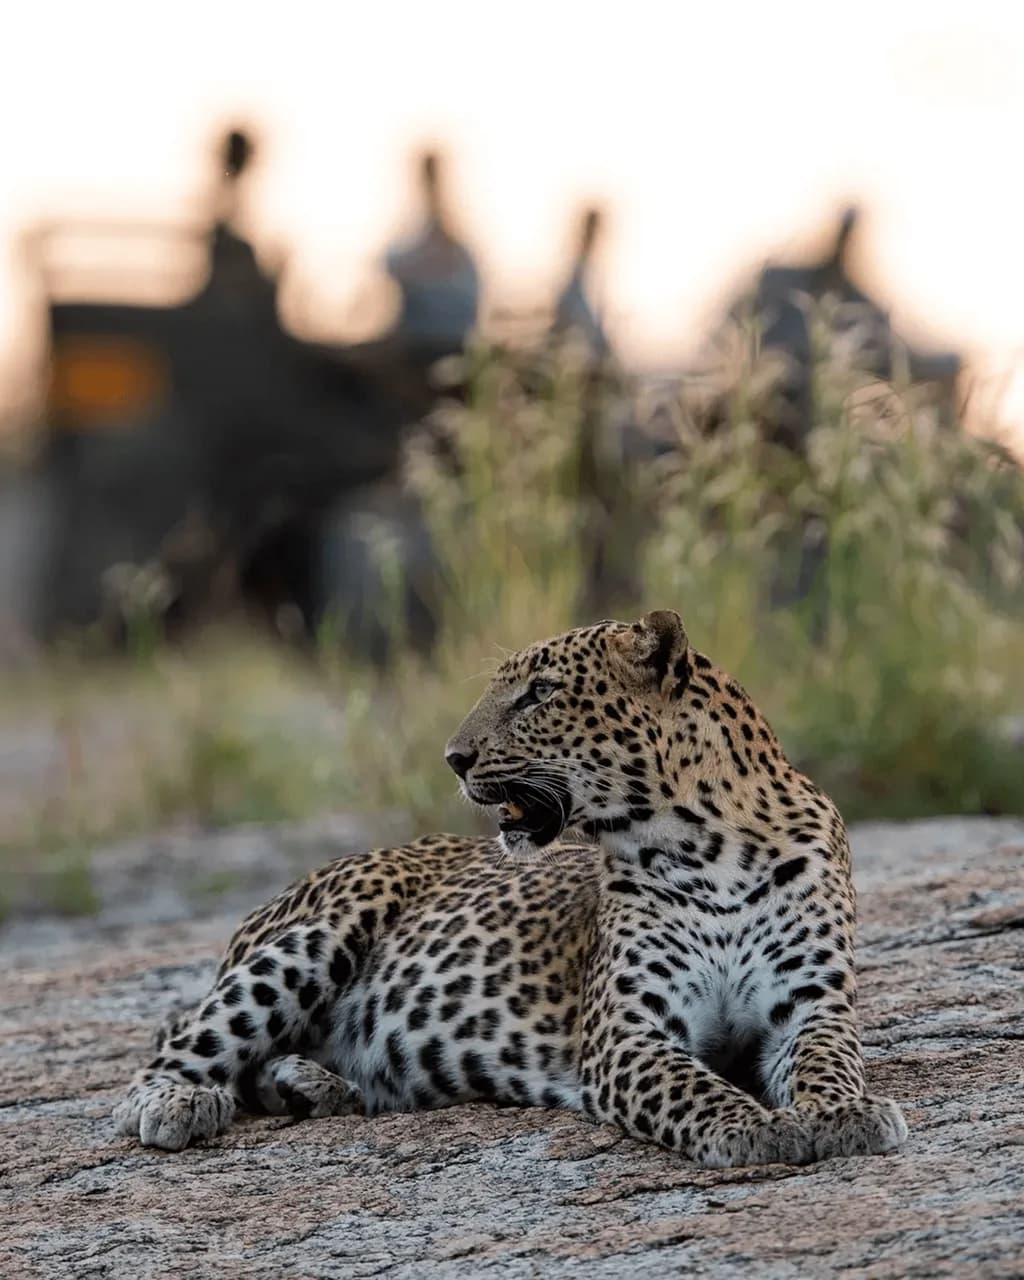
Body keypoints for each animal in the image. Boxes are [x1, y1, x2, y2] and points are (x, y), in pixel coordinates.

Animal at [114, 610, 907, 1167]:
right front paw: (751, 1127)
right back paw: (181, 1102)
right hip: (317, 936)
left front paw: (845, 1116)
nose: (453, 758)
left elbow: (830, 1062)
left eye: (539, 694)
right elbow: (694, 1087)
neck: (709, 848)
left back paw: (313, 1086)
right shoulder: (628, 1033)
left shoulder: (809, 1005)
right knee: (172, 1050)